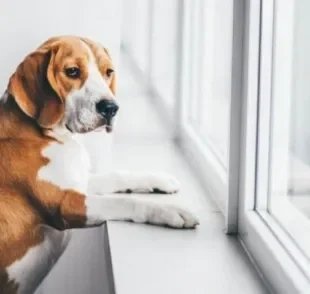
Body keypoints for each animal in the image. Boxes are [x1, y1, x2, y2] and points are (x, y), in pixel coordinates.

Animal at [0, 35, 199, 292]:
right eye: (72, 71)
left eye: (108, 72)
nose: (111, 108)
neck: (48, 134)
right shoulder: (66, 204)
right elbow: (123, 202)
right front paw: (171, 211)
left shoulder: (80, 181)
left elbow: (117, 176)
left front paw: (159, 179)